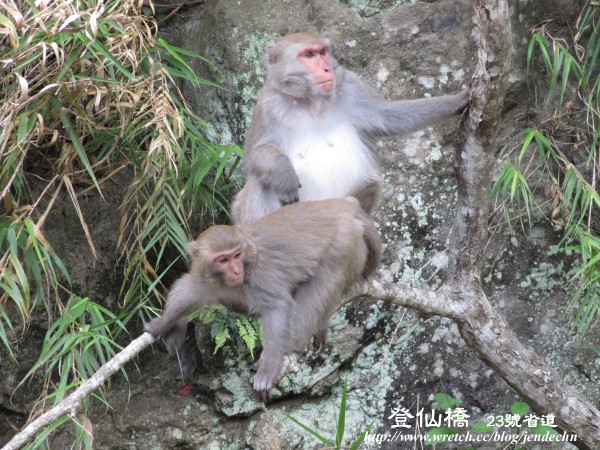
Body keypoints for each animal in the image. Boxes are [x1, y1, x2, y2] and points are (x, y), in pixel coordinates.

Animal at [143, 197, 382, 400]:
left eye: (236, 255)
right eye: (223, 260)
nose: (236, 271)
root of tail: (341, 204)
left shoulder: (260, 276)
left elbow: (276, 309)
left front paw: (268, 368)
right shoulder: (203, 275)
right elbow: (187, 293)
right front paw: (164, 324)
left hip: (344, 243)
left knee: (317, 289)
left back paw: (292, 346)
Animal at [232, 30, 472, 222]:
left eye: (322, 52)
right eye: (308, 55)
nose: (327, 69)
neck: (312, 102)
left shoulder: (350, 86)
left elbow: (390, 116)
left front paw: (456, 101)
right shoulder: (268, 106)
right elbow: (252, 156)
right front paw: (282, 171)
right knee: (260, 182)